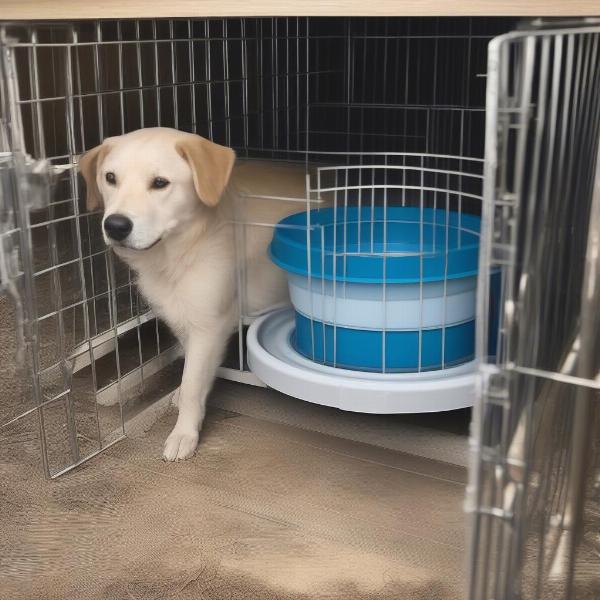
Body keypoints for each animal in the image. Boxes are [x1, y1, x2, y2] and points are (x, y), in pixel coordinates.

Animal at [79, 127, 310, 460]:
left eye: (159, 183)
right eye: (110, 178)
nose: (116, 225)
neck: (180, 251)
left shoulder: (208, 325)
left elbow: (191, 383)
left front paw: (184, 433)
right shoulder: (183, 317)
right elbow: (191, 373)